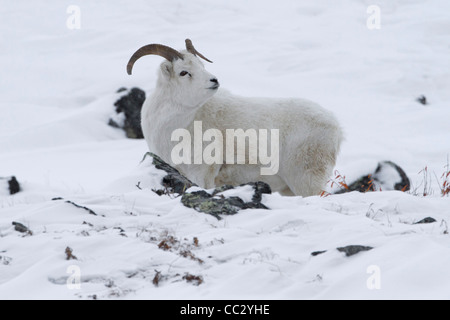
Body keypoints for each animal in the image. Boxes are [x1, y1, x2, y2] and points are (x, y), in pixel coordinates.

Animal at [126, 38, 342, 196]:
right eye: (184, 72)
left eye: (201, 65)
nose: (214, 80)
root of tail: (336, 127)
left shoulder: (201, 174)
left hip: (305, 180)